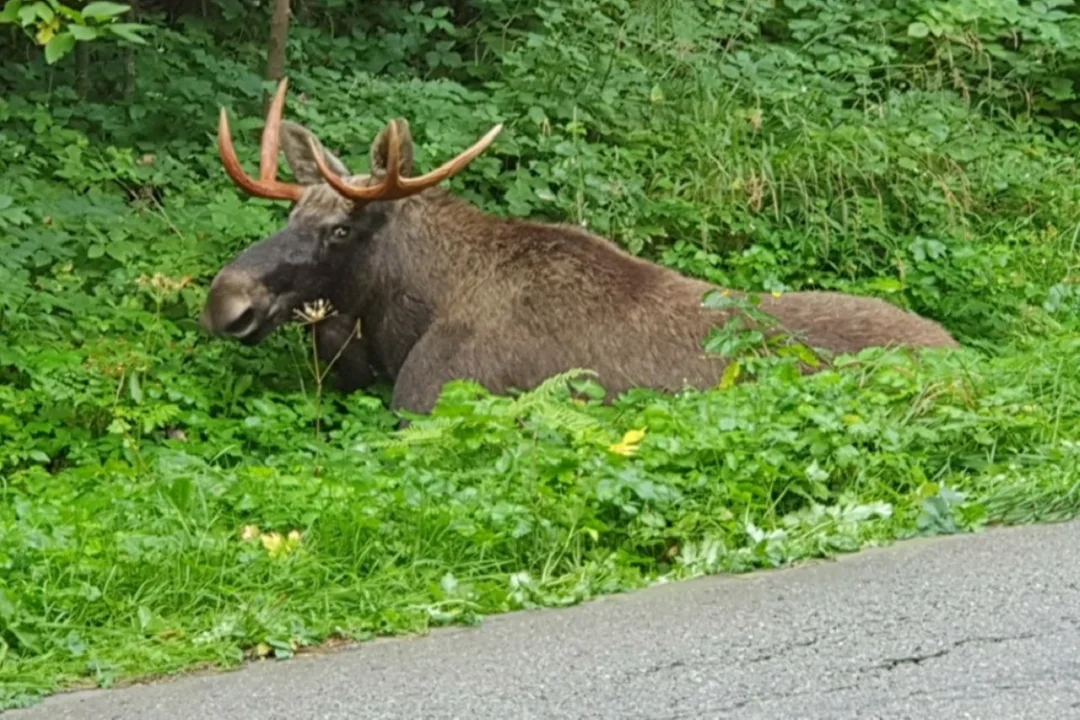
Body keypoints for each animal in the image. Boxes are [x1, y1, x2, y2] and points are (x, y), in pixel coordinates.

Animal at [198, 77, 959, 416]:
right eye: (292, 210)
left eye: (340, 229)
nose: (226, 302)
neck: (403, 316)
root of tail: (966, 357)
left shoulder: (428, 399)